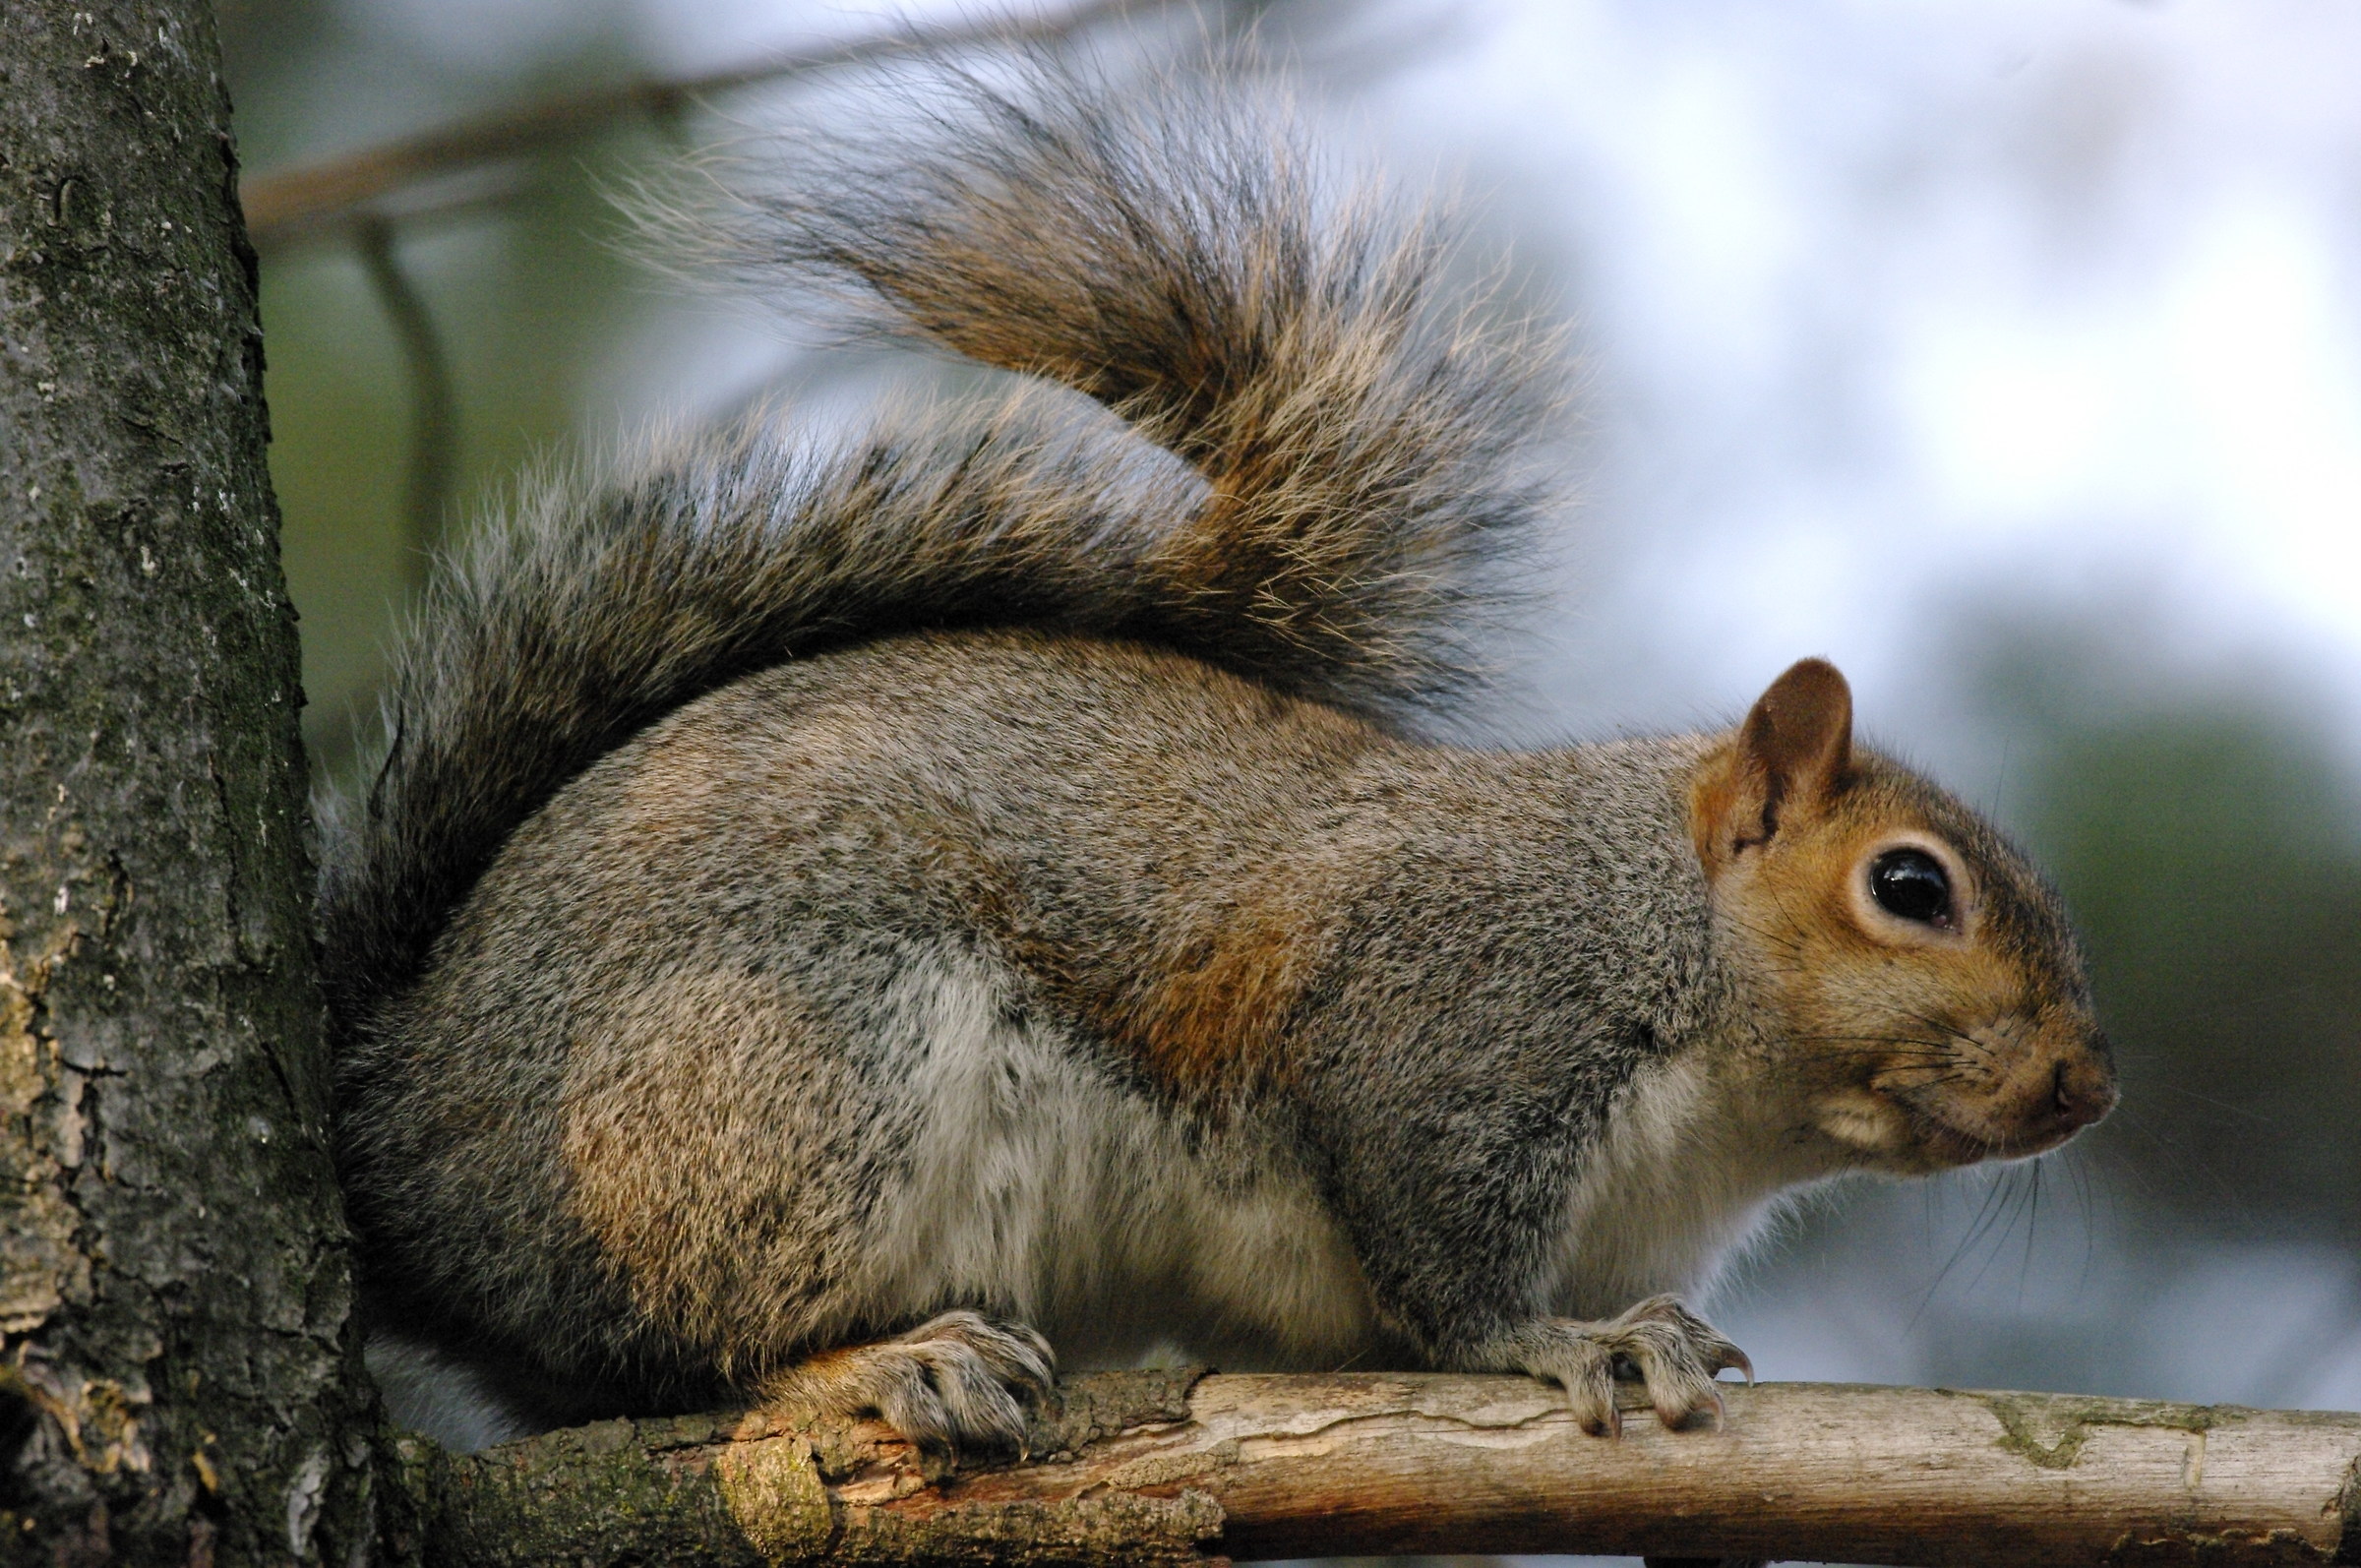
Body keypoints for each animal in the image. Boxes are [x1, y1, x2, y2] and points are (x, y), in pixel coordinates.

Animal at [320, 58, 2117, 1454]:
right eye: (1910, 886)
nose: (2088, 1085)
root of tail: (398, 1135)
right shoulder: (1444, 1020)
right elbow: (1447, 1263)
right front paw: (1567, 1341)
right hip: (790, 1070)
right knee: (678, 1356)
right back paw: (890, 1357)